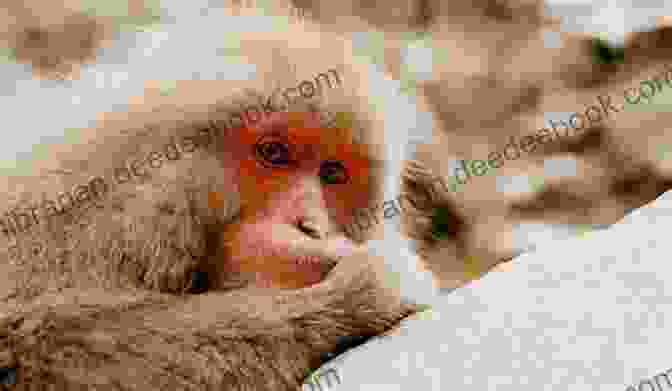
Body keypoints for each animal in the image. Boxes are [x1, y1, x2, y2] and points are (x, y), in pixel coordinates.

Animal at [0, 3, 438, 391]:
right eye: (273, 152)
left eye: (332, 174)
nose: (311, 225)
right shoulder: (67, 222)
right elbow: (23, 341)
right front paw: (360, 295)